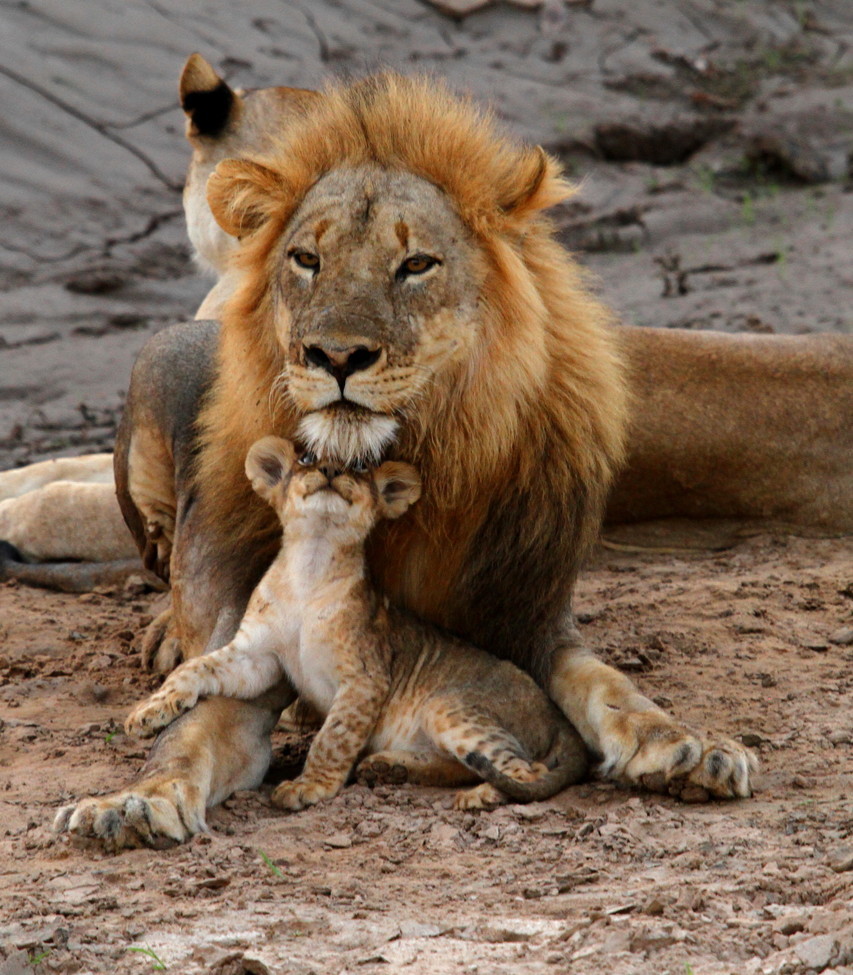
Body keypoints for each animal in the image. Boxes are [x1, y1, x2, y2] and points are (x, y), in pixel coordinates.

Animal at [125, 438, 589, 812]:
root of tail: (556, 714)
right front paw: (148, 711)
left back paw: (482, 795)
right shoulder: (258, 657)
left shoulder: (365, 677)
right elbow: (194, 667)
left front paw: (308, 787)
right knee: (468, 764)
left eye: (360, 467)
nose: (331, 471)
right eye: (308, 458)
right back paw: (390, 768)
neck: (309, 568)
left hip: (450, 705)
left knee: (524, 770)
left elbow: (332, 737)